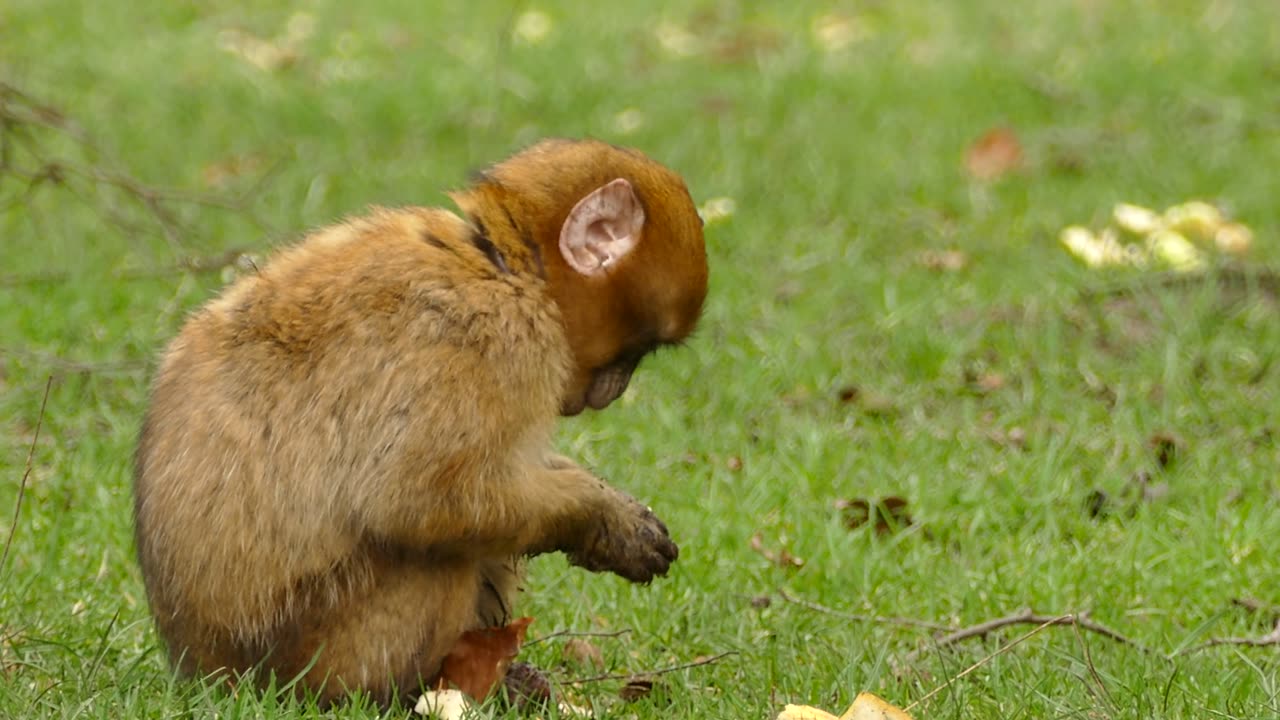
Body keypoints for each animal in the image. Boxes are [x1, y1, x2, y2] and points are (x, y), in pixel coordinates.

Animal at [131, 137, 711, 702]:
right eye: (637, 351)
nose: (614, 392)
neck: (501, 265)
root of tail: (205, 668)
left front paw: (609, 503)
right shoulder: (488, 340)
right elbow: (418, 501)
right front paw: (597, 518)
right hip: (317, 651)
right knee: (440, 553)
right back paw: (411, 690)